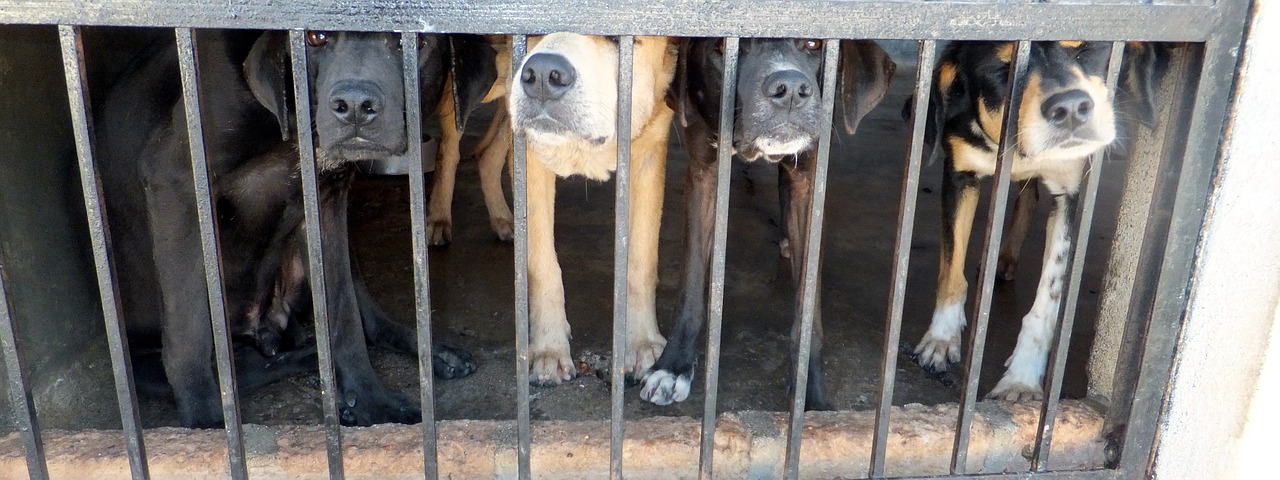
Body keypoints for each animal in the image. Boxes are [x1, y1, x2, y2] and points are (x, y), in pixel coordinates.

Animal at [93, 30, 494, 427]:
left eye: (413, 41)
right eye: (315, 37)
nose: (354, 105)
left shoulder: (327, 201)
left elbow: (345, 318)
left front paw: (371, 402)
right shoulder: (175, 179)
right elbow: (187, 335)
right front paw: (207, 425)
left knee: (364, 318)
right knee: (245, 365)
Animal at [506, 33, 680, 386]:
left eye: (617, 38)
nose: (542, 74)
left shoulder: (650, 149)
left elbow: (641, 262)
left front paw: (642, 343)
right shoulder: (528, 156)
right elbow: (542, 265)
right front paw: (548, 350)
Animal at [640, 38, 901, 409]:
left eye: (814, 44)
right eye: (723, 47)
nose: (789, 89)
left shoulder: (809, 180)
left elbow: (808, 310)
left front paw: (810, 395)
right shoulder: (703, 174)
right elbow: (690, 286)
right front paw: (673, 366)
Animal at [911, 41, 1172, 401]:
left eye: (1085, 50)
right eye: (1004, 68)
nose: (1071, 108)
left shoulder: (1071, 197)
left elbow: (1047, 300)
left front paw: (1021, 379)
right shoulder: (959, 175)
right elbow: (951, 273)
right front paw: (940, 339)